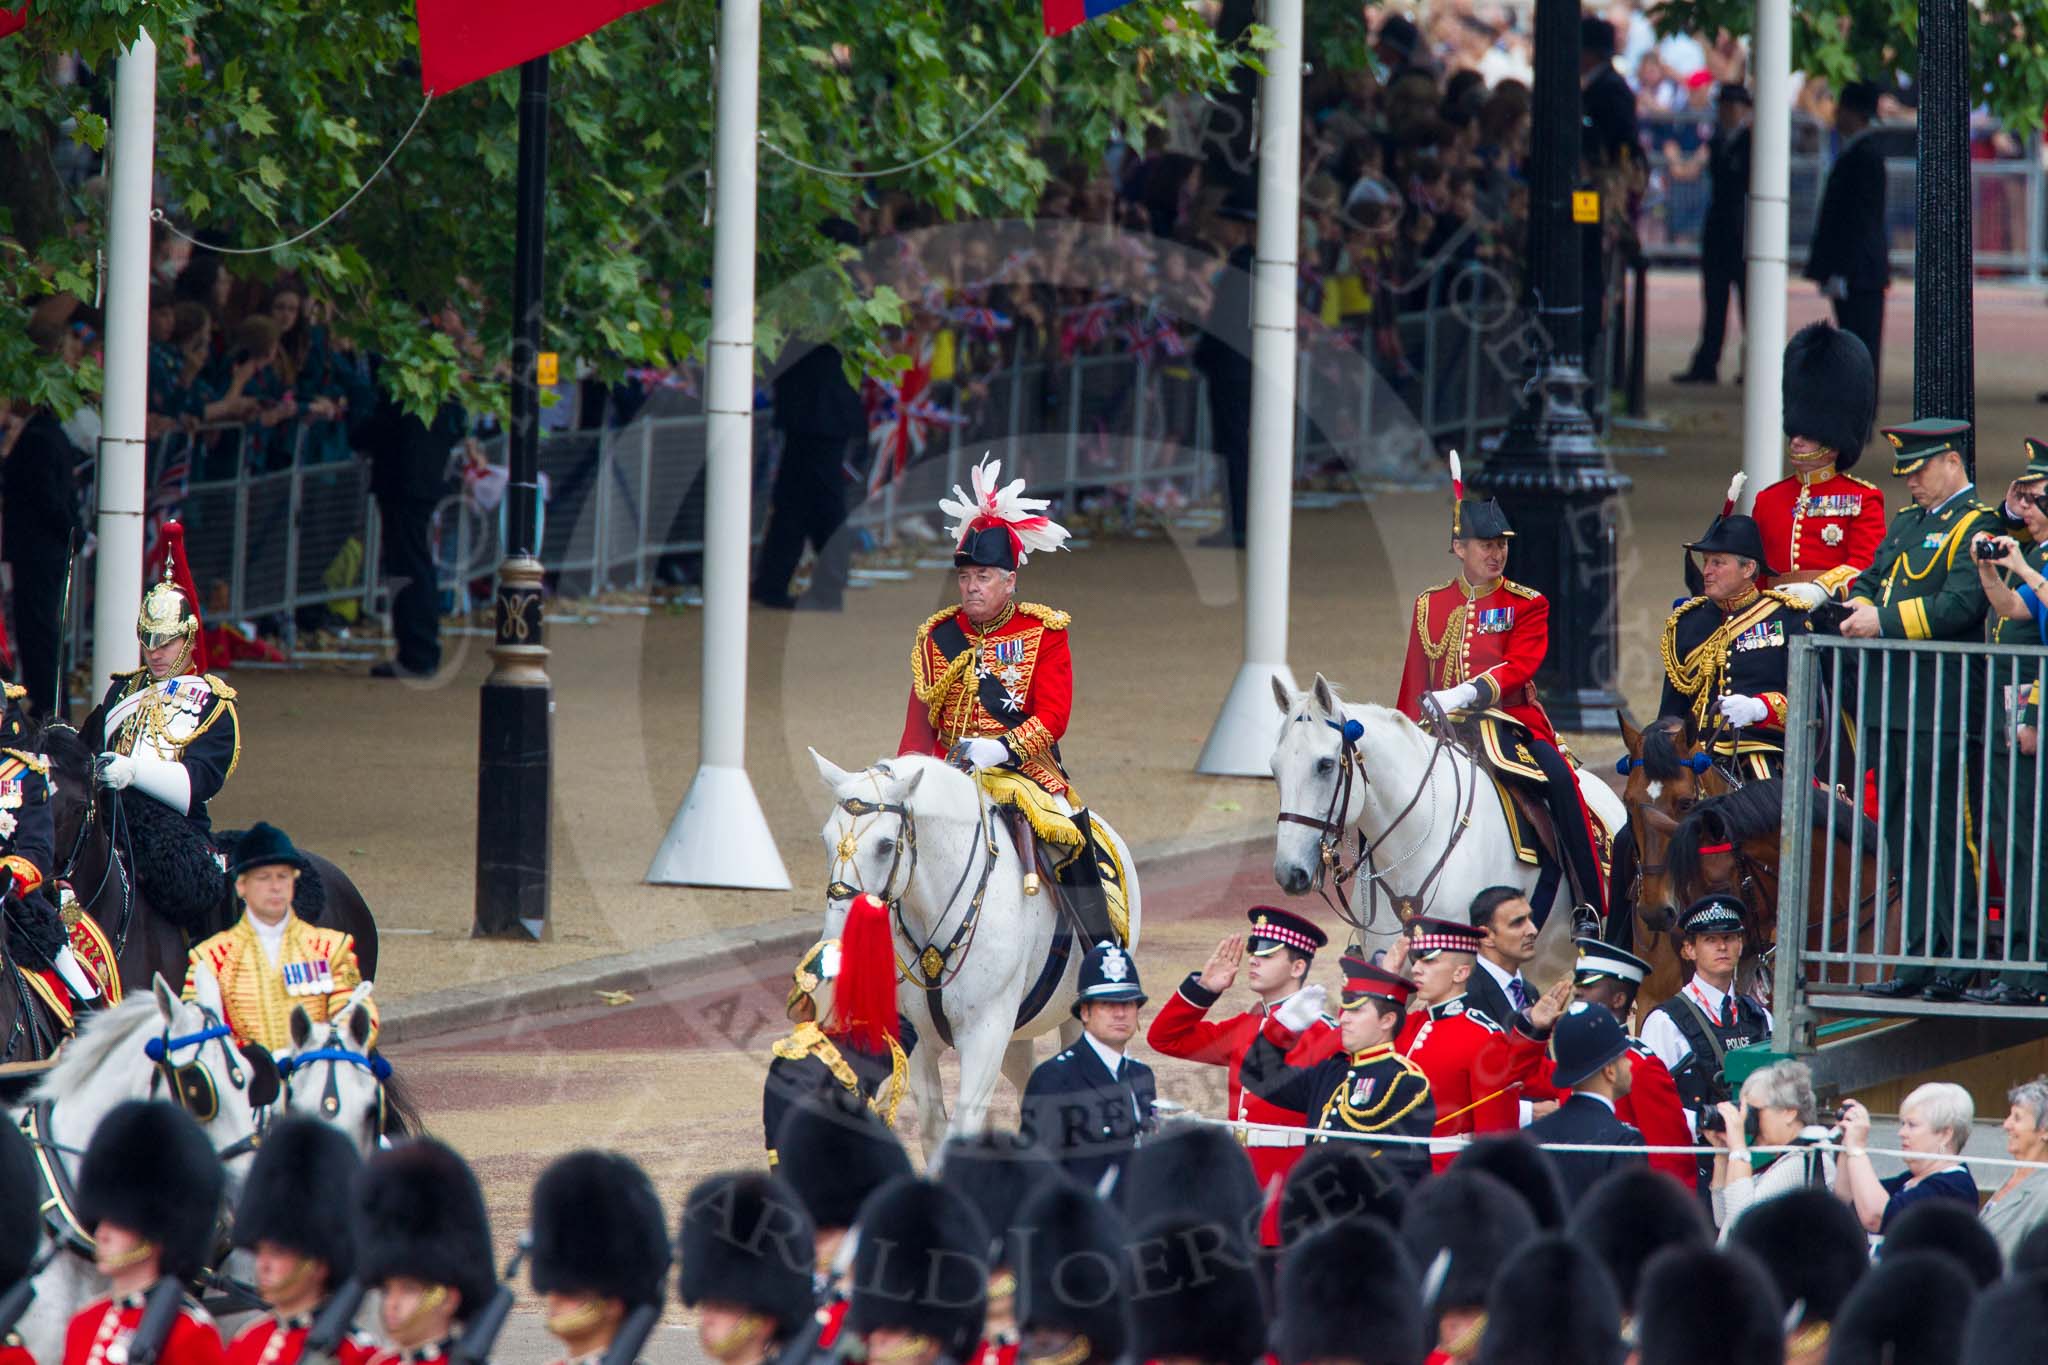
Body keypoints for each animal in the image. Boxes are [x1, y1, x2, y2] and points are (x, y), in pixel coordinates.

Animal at [806, 753, 1146, 1162]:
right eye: (826, 839)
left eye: (886, 846)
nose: (836, 937)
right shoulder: (918, 1037)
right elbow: (934, 1130)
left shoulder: (985, 1033)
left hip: (1072, 1018)